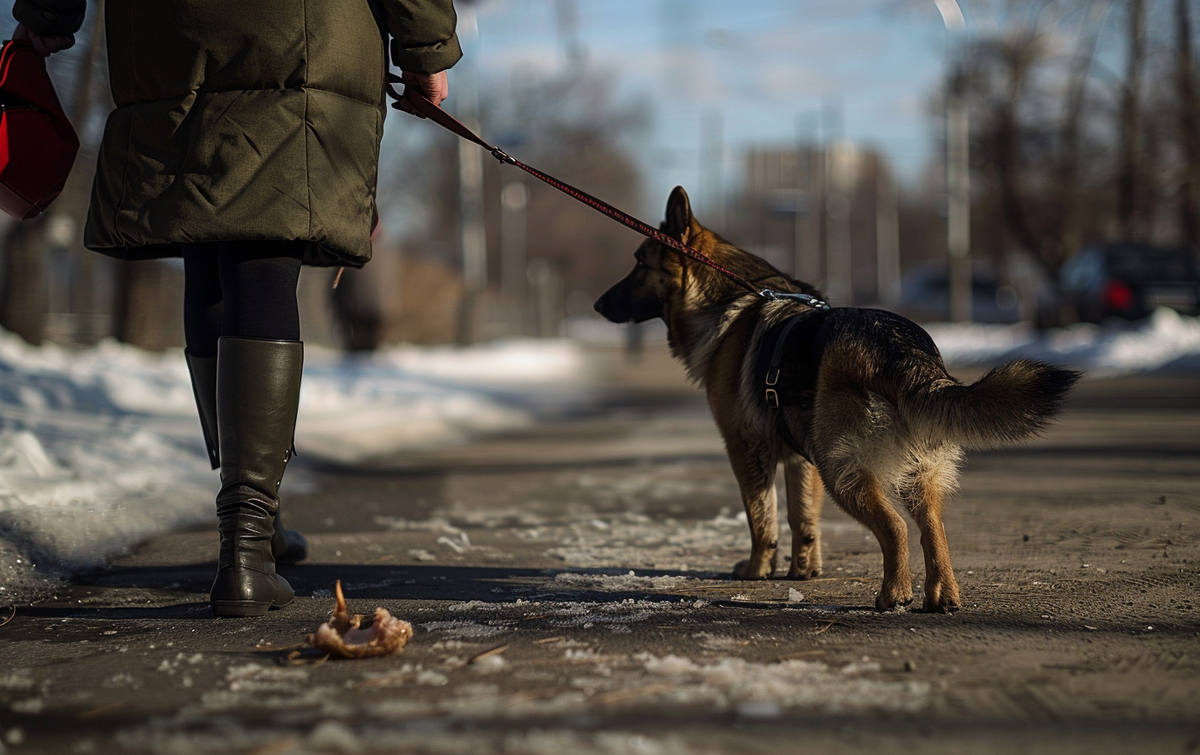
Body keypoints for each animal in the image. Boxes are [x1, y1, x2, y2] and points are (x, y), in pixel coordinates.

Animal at [595, 186, 1084, 609]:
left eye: (638, 264)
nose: (598, 305)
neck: (725, 299)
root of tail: (900, 347)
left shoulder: (747, 447)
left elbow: (761, 517)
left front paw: (757, 570)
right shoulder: (798, 458)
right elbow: (803, 519)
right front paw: (803, 570)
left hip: (840, 466)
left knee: (895, 528)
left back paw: (894, 595)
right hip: (911, 472)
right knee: (934, 530)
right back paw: (941, 595)